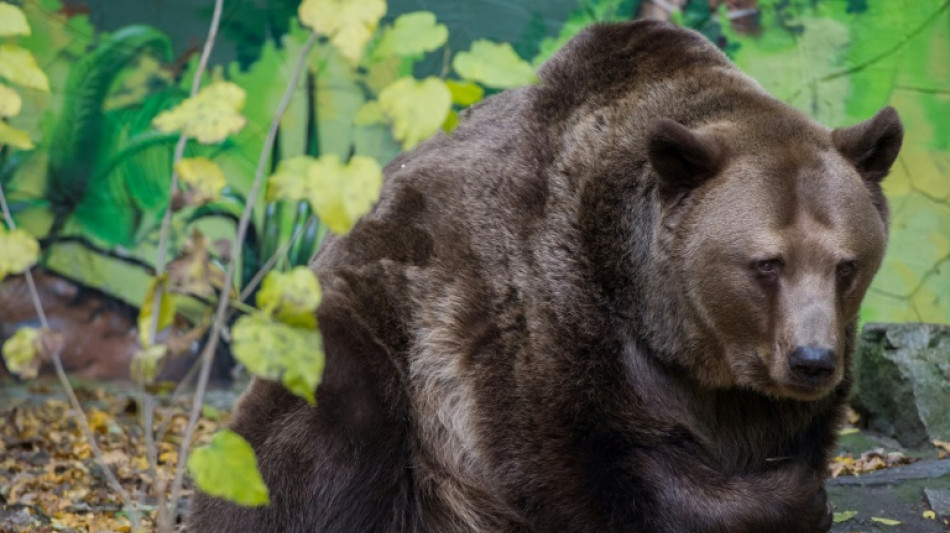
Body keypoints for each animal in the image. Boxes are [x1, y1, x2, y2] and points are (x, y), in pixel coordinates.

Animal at [188, 20, 902, 533]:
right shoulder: (538, 308)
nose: (811, 360)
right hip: (357, 332)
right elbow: (582, 467)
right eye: (766, 262)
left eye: (846, 264)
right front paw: (790, 499)